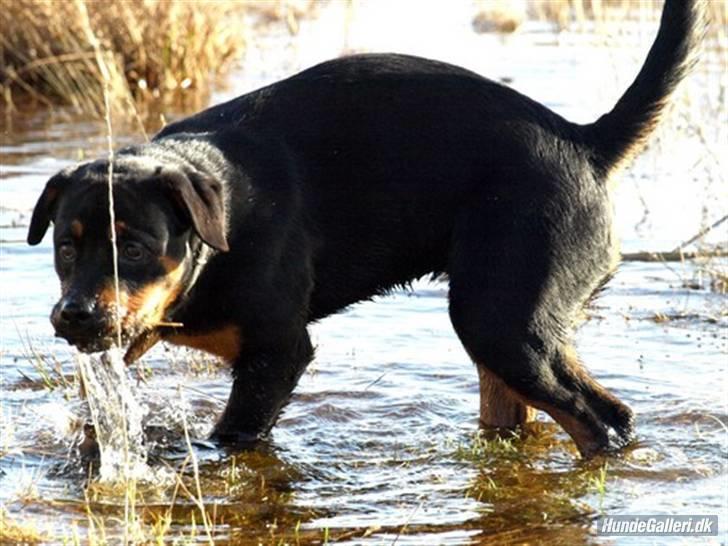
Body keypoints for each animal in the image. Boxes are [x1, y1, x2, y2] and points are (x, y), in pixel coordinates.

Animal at [28, 1, 704, 454]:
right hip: (511, 332)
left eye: (135, 247)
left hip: (501, 320)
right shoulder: (131, 332)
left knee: (599, 419)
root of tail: (584, 142)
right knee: (560, 414)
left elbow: (233, 437)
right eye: (66, 247)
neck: (220, 236)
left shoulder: (278, 351)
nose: (73, 314)